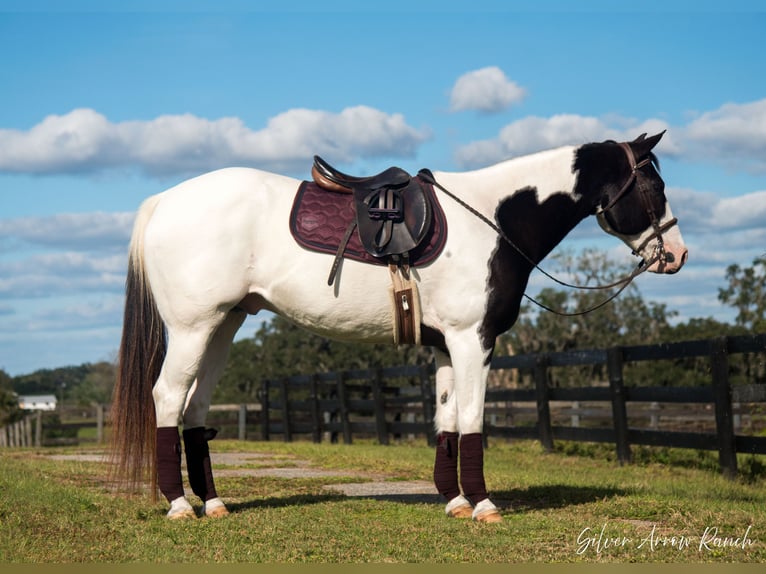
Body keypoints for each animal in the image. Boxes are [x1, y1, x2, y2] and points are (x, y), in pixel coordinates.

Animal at [109, 133, 688, 524]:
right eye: (654, 184)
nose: (678, 255)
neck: (494, 219)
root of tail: (164, 201)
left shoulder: (447, 346)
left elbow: (447, 420)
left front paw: (455, 501)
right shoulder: (473, 340)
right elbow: (472, 419)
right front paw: (483, 505)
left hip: (222, 327)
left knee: (194, 409)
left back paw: (213, 503)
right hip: (192, 328)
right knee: (167, 398)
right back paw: (179, 505)